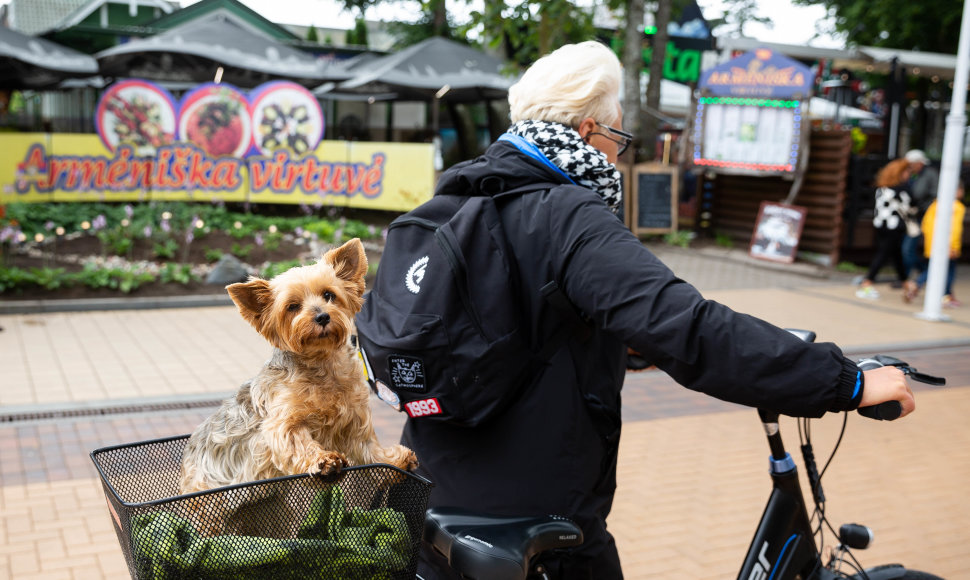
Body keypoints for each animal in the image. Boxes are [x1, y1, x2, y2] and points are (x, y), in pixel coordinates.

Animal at [180, 238, 414, 506]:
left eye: (328, 295)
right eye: (292, 306)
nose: (322, 316)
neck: (323, 365)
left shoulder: (354, 419)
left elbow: (368, 446)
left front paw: (391, 460)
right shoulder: (282, 422)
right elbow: (297, 441)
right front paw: (323, 460)